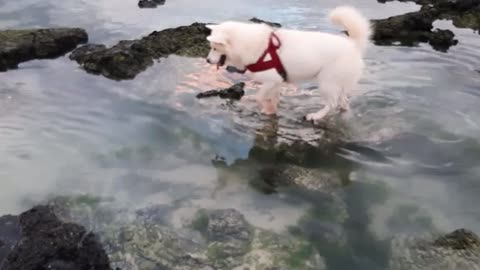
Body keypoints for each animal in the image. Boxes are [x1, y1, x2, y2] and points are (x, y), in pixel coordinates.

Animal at [204, 5, 374, 122]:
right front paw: (271, 110)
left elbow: (260, 96)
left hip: (327, 82)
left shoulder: (271, 80)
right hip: (338, 83)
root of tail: (353, 45)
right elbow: (272, 98)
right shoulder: (277, 81)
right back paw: (344, 113)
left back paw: (316, 116)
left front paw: (266, 107)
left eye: (214, 48)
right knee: (343, 101)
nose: (207, 60)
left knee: (332, 103)